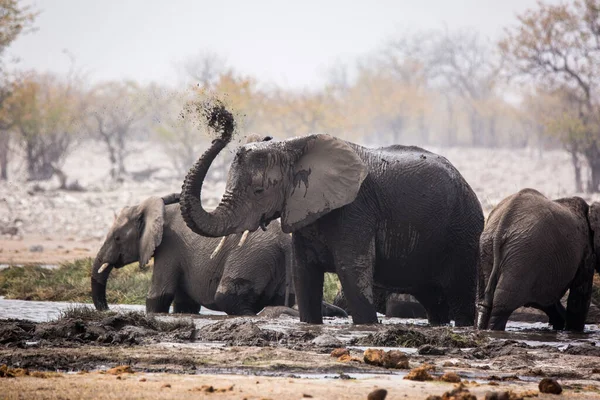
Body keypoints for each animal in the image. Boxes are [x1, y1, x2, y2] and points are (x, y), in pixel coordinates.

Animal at [91, 192, 350, 318]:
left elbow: (159, 296)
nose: (107, 310)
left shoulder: (170, 248)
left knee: (228, 297)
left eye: (117, 238)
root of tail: (284, 241)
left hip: (252, 256)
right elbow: (185, 304)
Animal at [177, 105, 482, 324]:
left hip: (463, 233)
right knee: (433, 300)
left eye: (259, 190)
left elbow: (352, 271)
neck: (293, 147)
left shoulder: (357, 209)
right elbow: (304, 274)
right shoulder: (304, 210)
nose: (221, 117)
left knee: (460, 297)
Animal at [478, 188, 600, 332]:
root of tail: (501, 224)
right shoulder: (586, 249)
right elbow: (579, 295)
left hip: (489, 248)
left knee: (486, 303)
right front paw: (573, 331)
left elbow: (546, 297)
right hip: (523, 253)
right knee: (502, 305)